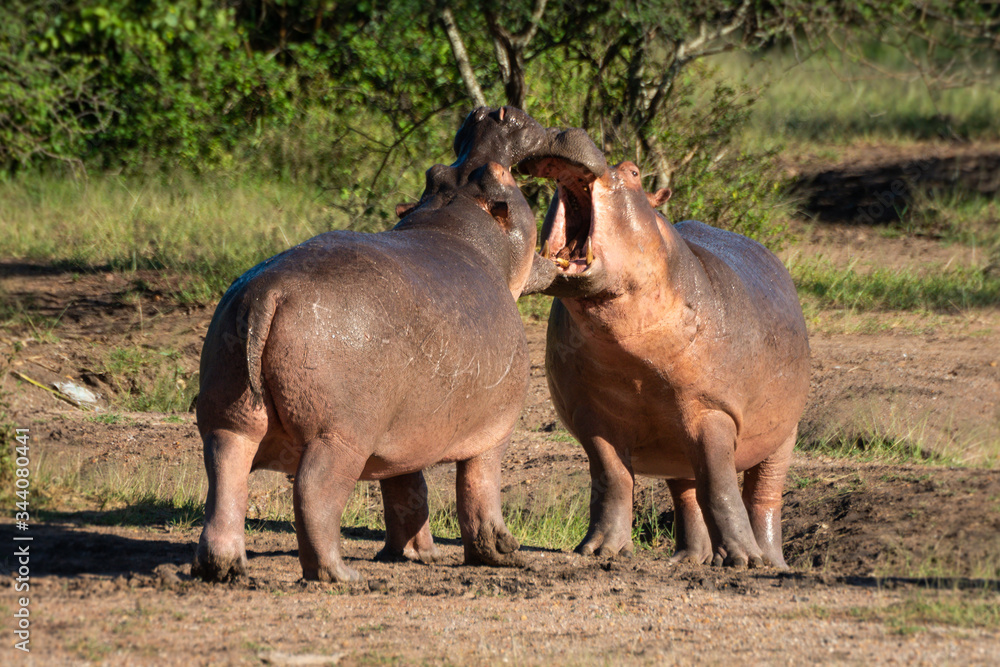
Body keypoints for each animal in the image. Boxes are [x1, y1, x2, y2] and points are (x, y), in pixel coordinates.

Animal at [193, 107, 584, 583]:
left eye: (435, 172)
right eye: (498, 177)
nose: (490, 112)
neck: (457, 218)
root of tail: (268, 292)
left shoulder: (402, 436)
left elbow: (407, 489)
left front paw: (417, 555)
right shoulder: (496, 429)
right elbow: (479, 490)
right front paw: (504, 553)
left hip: (229, 417)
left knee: (225, 479)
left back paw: (224, 569)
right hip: (339, 436)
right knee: (314, 492)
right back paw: (340, 576)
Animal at [524, 137, 810, 568]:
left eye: (634, 172)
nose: (565, 133)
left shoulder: (712, 411)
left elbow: (721, 486)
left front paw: (742, 560)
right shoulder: (592, 417)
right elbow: (613, 480)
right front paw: (600, 550)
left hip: (782, 435)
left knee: (763, 496)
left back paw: (770, 561)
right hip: (677, 447)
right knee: (687, 495)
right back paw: (688, 560)